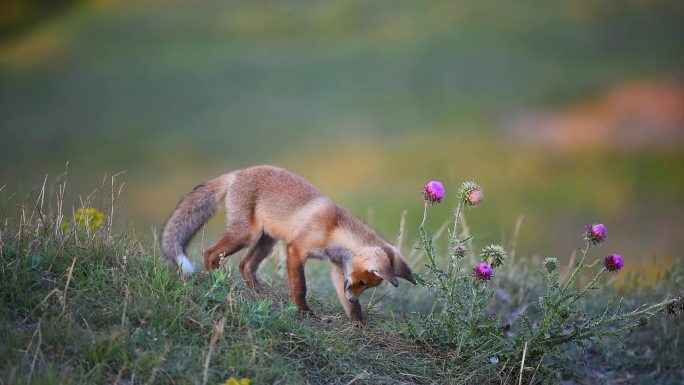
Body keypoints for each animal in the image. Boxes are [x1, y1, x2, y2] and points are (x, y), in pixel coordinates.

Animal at [162, 164, 416, 320]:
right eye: (363, 281)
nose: (354, 295)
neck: (334, 230)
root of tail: (237, 172)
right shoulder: (296, 249)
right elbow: (300, 287)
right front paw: (303, 310)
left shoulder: (338, 269)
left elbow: (349, 305)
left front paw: (358, 322)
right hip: (245, 235)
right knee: (210, 253)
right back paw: (216, 280)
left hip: (266, 241)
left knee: (245, 266)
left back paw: (258, 293)